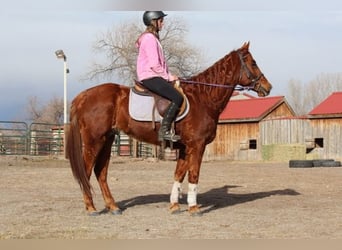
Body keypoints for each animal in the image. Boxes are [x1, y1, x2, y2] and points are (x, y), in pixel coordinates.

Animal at [67, 42, 272, 216]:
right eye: (253, 63)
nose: (268, 87)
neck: (203, 98)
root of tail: (83, 96)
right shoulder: (197, 145)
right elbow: (194, 174)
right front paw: (193, 207)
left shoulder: (184, 147)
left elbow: (179, 174)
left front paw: (174, 205)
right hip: (94, 141)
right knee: (86, 171)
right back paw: (91, 208)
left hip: (107, 140)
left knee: (101, 172)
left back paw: (113, 206)